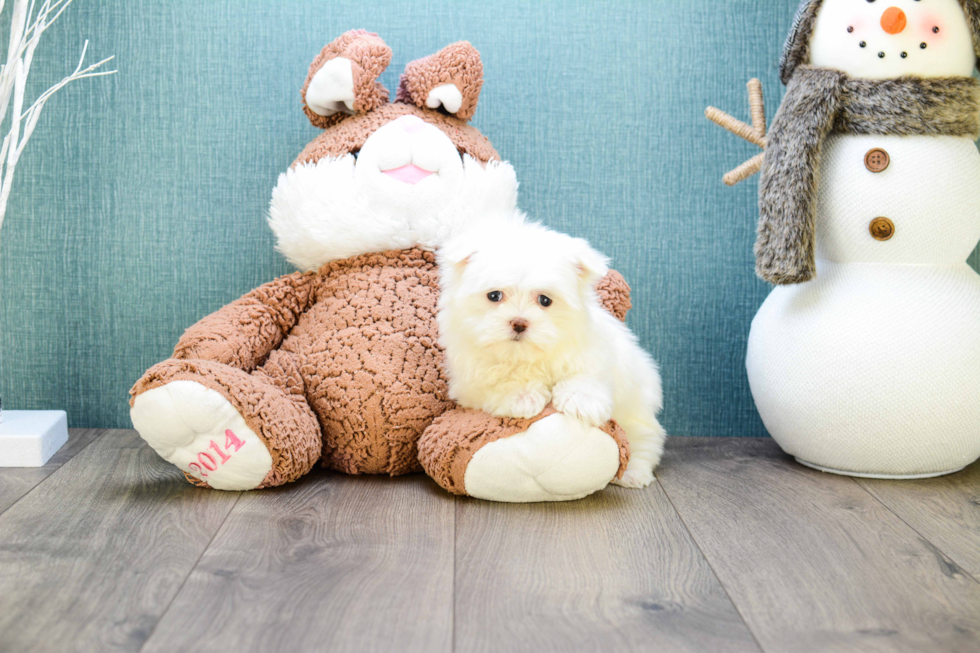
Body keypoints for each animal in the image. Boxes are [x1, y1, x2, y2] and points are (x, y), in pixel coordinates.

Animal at [440, 218, 668, 484]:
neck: (526, 356)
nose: (519, 323)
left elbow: (587, 375)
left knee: (645, 439)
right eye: (494, 295)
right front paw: (521, 396)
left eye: (545, 300)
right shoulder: (469, 379)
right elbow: (495, 382)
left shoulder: (592, 352)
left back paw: (634, 472)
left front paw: (581, 401)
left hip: (637, 409)